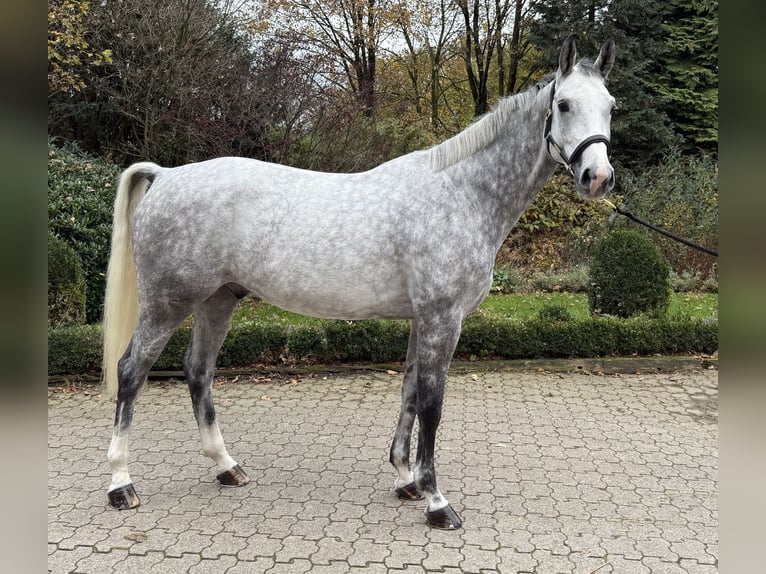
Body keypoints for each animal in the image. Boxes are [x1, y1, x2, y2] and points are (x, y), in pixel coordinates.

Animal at [102, 36, 616, 530]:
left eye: (611, 106)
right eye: (564, 104)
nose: (598, 177)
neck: (461, 193)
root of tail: (166, 175)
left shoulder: (422, 319)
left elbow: (410, 393)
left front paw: (407, 480)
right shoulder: (443, 318)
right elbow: (432, 404)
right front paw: (437, 502)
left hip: (217, 301)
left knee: (198, 371)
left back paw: (227, 466)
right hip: (167, 303)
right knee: (131, 371)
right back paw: (121, 484)